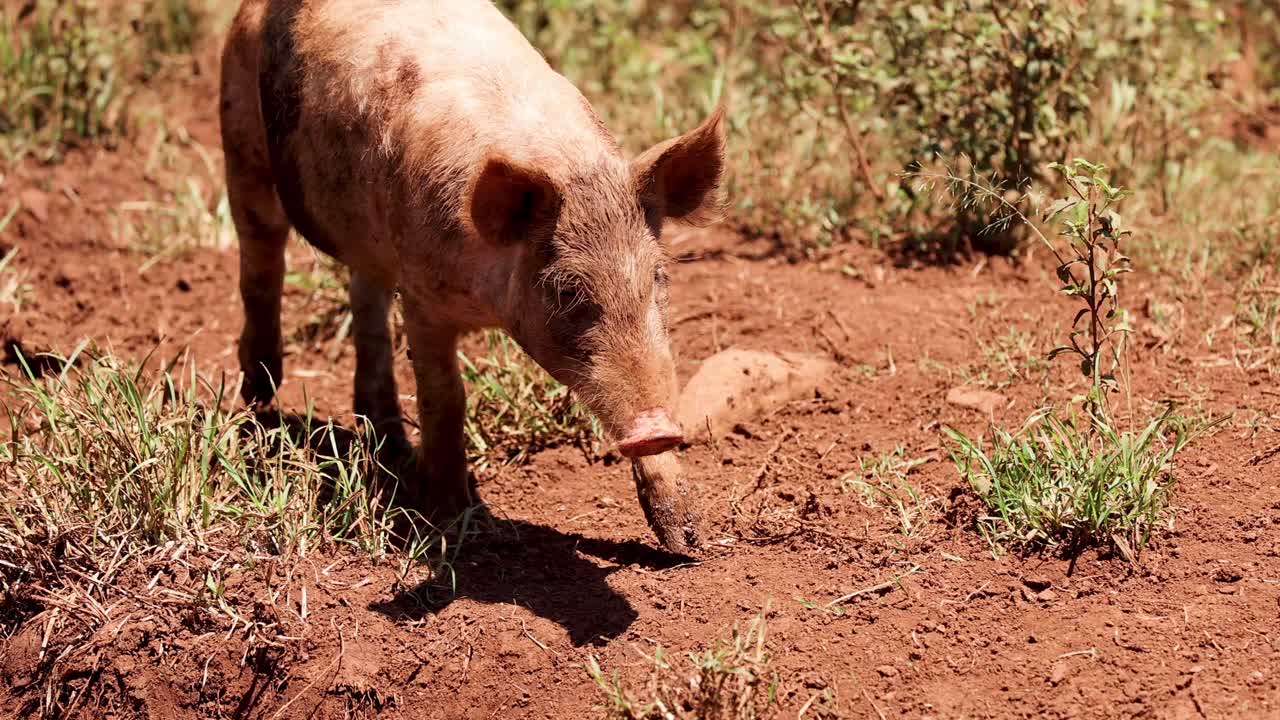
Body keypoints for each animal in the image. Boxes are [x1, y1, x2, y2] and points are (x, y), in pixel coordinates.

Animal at [219, 0, 724, 553]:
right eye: (566, 289)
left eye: (658, 277)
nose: (656, 427)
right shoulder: (422, 295)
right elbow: (445, 398)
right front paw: (451, 521)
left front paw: (686, 543)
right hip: (240, 140)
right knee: (261, 261)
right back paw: (260, 398)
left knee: (365, 299)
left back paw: (389, 440)